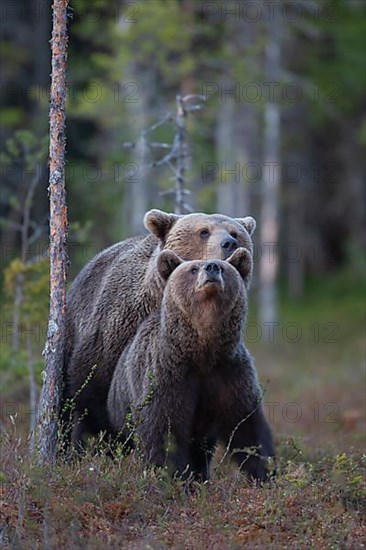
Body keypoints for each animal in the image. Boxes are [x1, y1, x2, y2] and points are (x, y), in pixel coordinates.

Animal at [107, 250, 274, 484]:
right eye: (193, 268)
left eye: (224, 267)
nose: (212, 267)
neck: (202, 352)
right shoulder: (168, 374)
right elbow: (163, 429)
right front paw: (173, 476)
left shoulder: (230, 373)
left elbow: (247, 426)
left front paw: (265, 473)